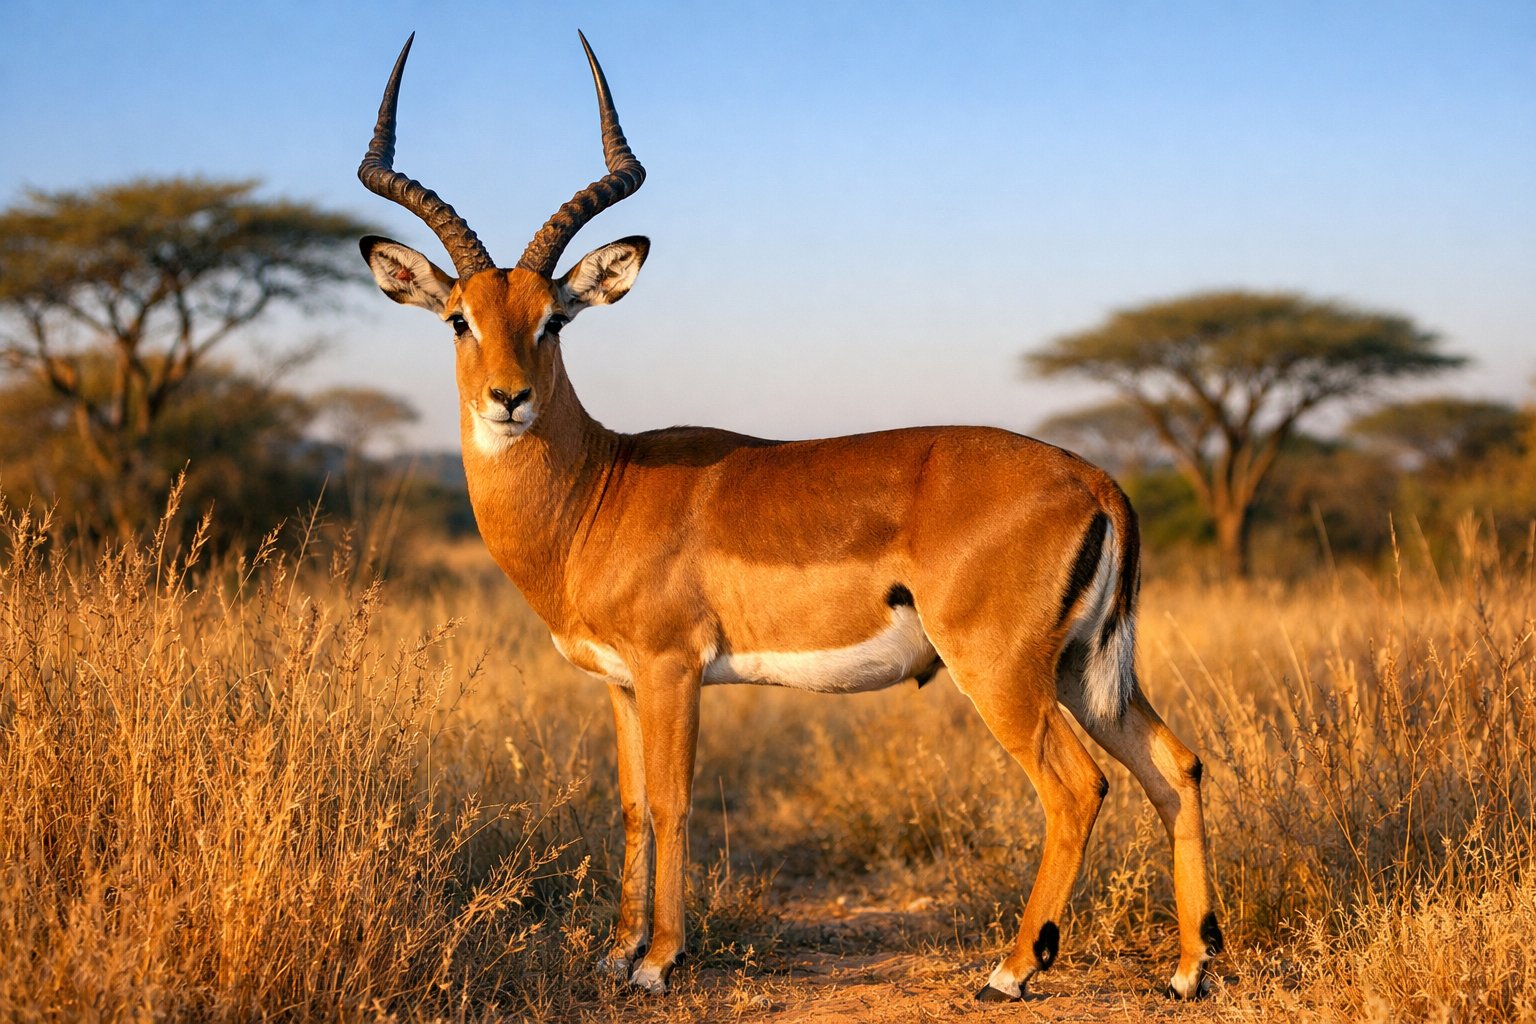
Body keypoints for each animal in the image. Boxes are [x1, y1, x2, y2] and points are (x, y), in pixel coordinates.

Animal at [356, 33, 1223, 1001]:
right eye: (458, 318)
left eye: (553, 321)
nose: (509, 400)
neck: (598, 492)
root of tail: (1097, 481)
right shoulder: (619, 682)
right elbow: (629, 804)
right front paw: (616, 950)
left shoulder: (672, 669)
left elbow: (673, 800)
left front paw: (659, 960)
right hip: (1082, 670)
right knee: (1177, 766)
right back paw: (1189, 970)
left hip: (1002, 671)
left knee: (1077, 787)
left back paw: (1009, 970)